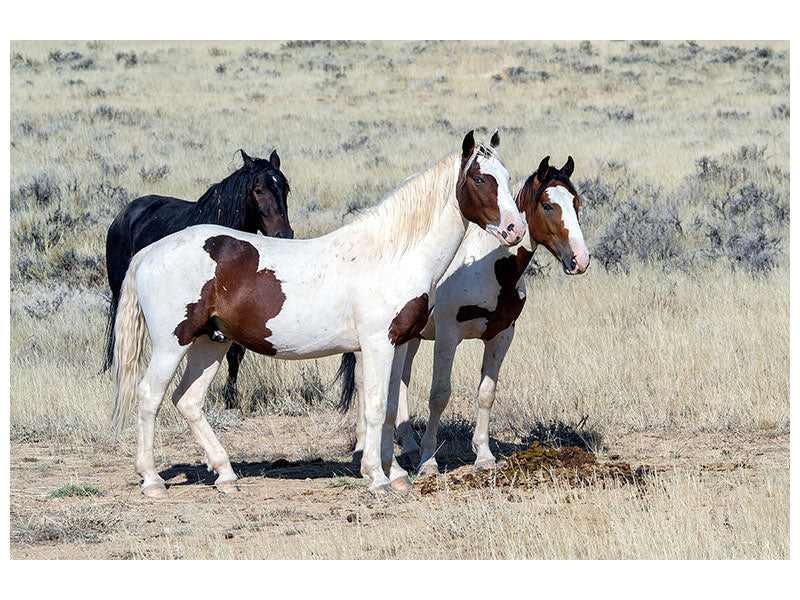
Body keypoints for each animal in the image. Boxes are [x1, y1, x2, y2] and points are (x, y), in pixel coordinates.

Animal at [103, 149, 292, 409]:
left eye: (285, 189)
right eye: (258, 189)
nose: (283, 234)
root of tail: (125, 213)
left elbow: (235, 353)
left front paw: (230, 398)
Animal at [338, 155, 590, 475]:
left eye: (576, 202)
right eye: (547, 205)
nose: (580, 259)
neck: (490, 267)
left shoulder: (501, 335)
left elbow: (486, 393)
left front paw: (483, 455)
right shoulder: (448, 336)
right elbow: (439, 395)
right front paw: (429, 460)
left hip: (410, 338)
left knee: (401, 381)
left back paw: (408, 446)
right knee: (362, 381)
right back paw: (364, 450)